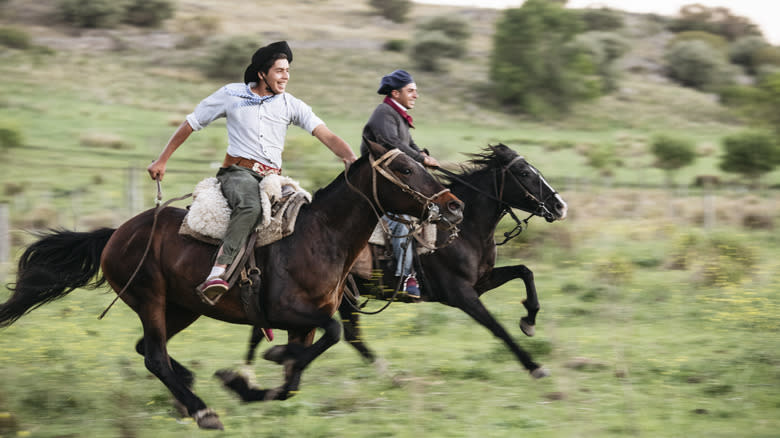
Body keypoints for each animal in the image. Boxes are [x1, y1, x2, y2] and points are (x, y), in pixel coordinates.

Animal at [1, 141, 464, 432]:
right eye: (404, 168)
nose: (453, 205)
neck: (319, 237)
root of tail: (117, 233)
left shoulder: (304, 324)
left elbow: (293, 380)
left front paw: (244, 383)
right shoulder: (287, 312)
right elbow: (327, 335)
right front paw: (262, 363)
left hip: (182, 308)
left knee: (148, 350)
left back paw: (189, 387)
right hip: (150, 298)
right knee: (154, 356)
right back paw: (202, 411)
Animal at [245, 143, 568, 376]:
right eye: (524, 173)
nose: (560, 206)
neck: (466, 228)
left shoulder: (482, 281)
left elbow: (525, 271)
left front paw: (529, 320)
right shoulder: (461, 293)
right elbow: (497, 327)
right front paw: (534, 365)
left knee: (345, 334)